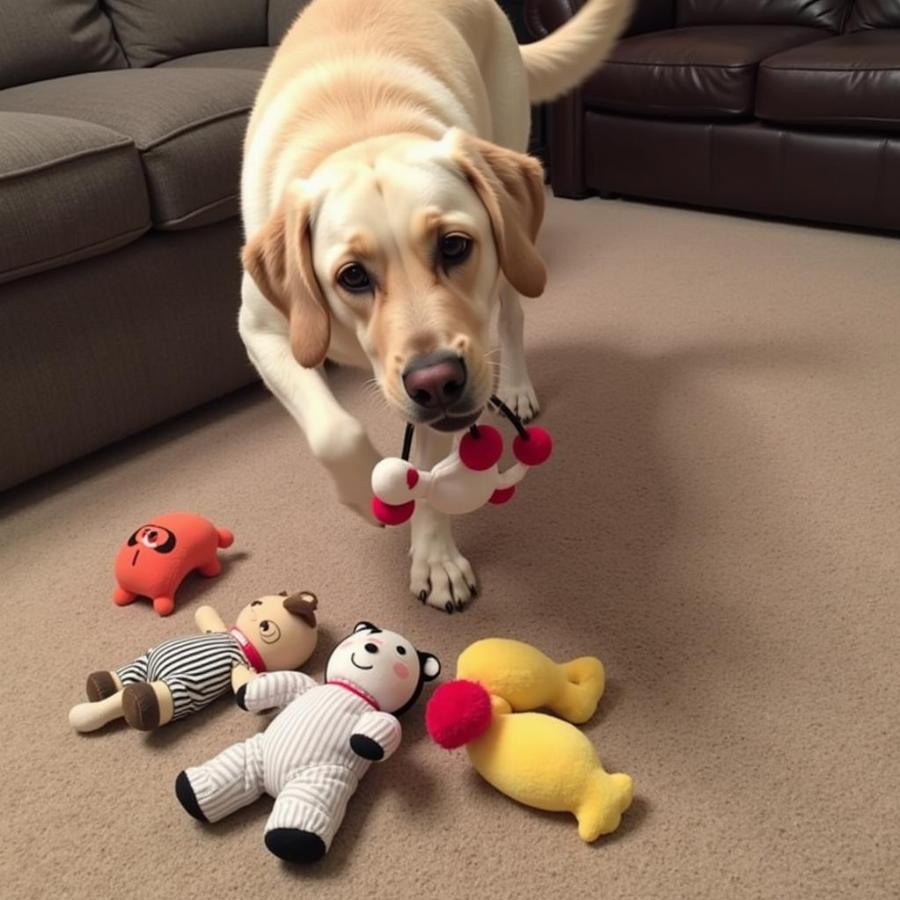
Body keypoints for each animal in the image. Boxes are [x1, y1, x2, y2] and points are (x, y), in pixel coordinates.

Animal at [239, 0, 632, 612]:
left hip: (514, 235)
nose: (436, 382)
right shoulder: (261, 329)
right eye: (352, 276)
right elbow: (335, 431)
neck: (361, 126)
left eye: (453, 246)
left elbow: (425, 468)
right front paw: (364, 493)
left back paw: (516, 385)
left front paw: (435, 559)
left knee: (513, 315)